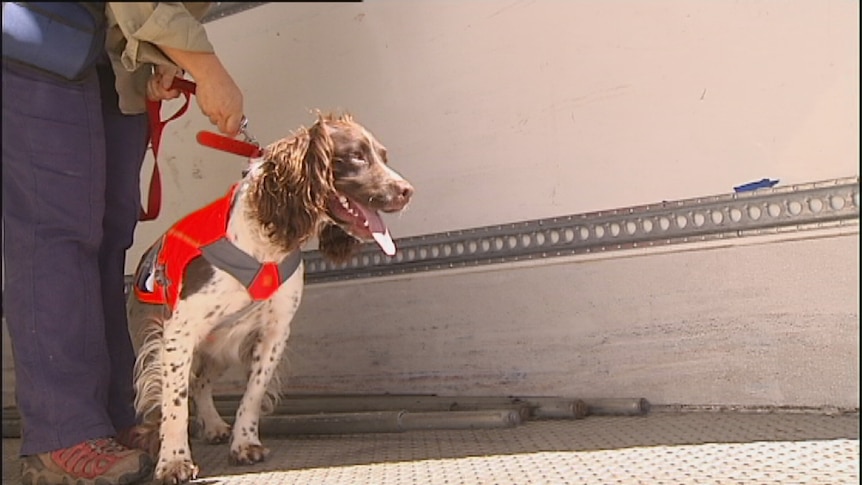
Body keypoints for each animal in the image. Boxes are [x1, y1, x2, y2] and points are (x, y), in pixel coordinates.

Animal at [124, 112, 416, 480]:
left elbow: (252, 393)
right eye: (356, 156)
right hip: (157, 342)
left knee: (202, 383)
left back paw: (214, 425)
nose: (408, 191)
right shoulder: (179, 332)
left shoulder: (274, 332)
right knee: (163, 395)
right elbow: (174, 403)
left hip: (219, 347)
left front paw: (244, 443)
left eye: (383, 156)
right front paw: (174, 461)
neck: (265, 242)